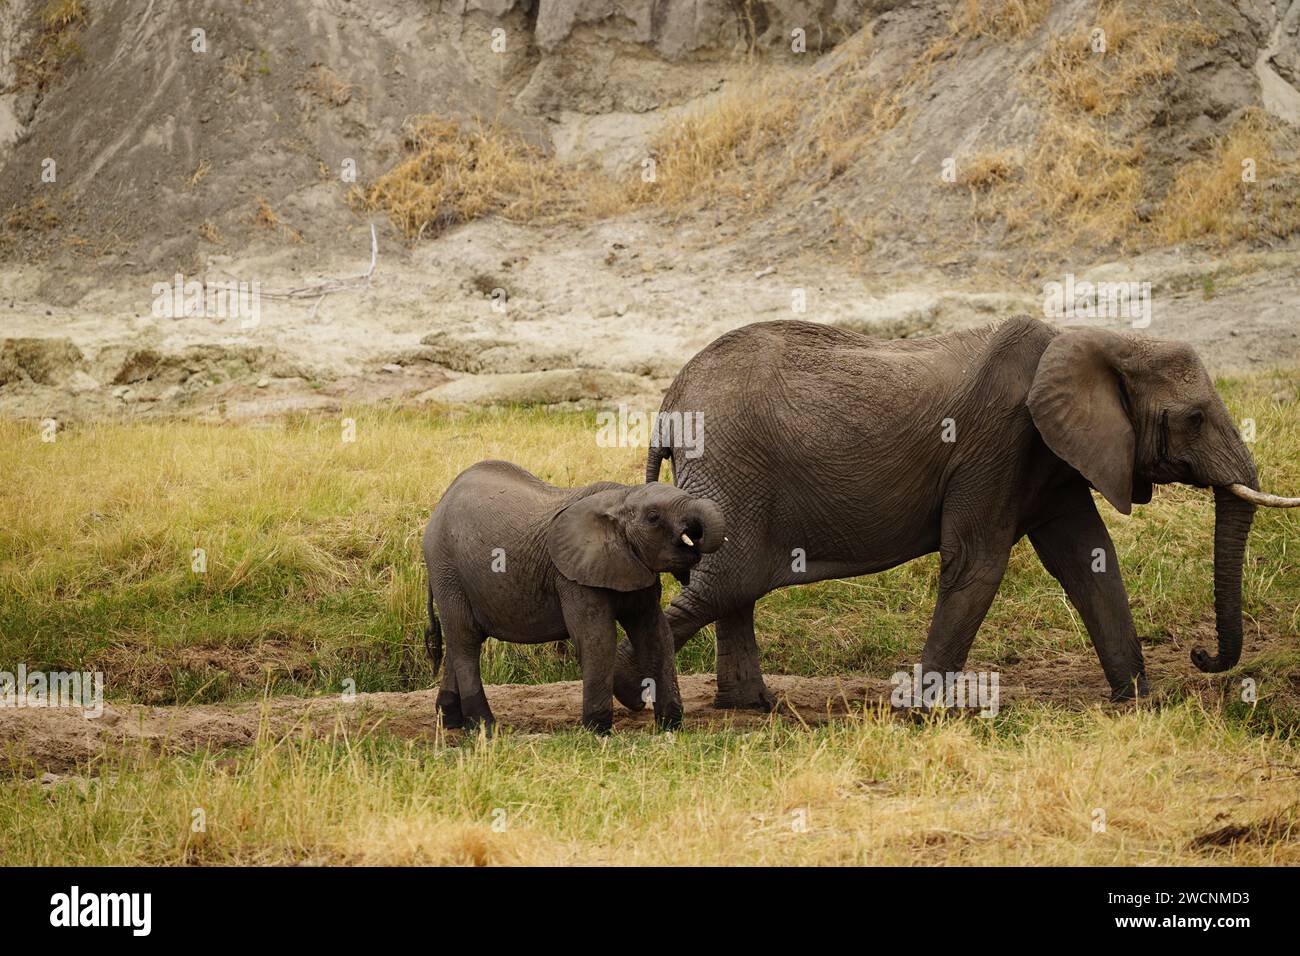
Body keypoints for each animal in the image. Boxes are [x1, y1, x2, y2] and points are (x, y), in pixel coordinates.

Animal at [426, 460, 733, 738]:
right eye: (654, 517)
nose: (695, 535)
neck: (622, 497)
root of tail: (440, 505)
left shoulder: (635, 568)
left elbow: (655, 635)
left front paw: (672, 727)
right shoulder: (572, 577)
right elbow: (597, 638)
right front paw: (598, 731)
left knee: (460, 638)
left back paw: (450, 720)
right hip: (448, 569)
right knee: (465, 640)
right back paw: (486, 729)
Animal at [611, 316, 1300, 712]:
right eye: (1194, 418)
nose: (1202, 657)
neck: (1091, 339)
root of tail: (669, 402)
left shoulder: (1050, 456)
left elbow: (1088, 559)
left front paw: (1136, 701)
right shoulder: (998, 440)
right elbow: (978, 562)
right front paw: (918, 711)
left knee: (732, 585)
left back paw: (753, 707)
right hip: (732, 462)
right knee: (729, 580)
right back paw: (631, 695)